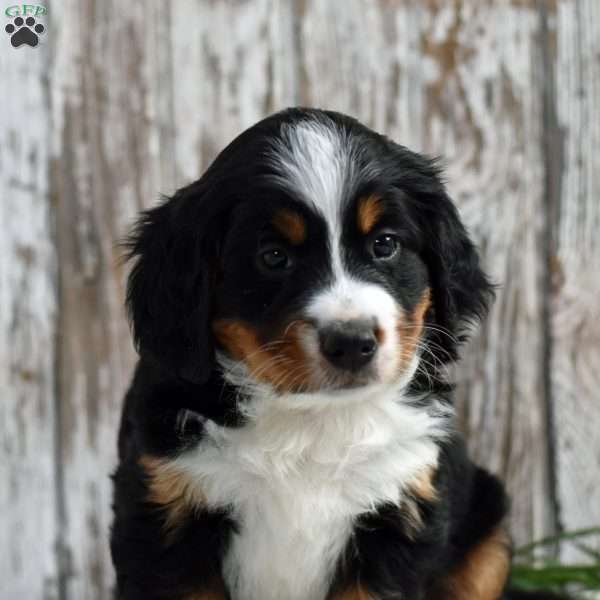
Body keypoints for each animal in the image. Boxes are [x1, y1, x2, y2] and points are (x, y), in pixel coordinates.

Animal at [110, 108, 512, 600]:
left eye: (385, 244)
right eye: (273, 256)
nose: (352, 342)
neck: (311, 420)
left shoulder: (399, 509)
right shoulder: (166, 512)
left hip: (488, 529)